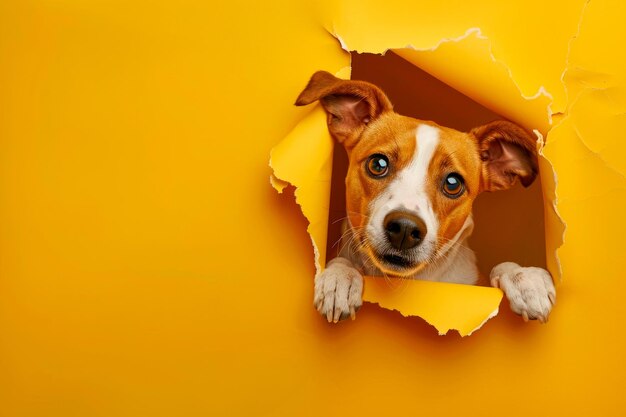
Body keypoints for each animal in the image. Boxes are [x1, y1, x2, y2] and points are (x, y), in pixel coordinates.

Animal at [294, 71, 556, 324]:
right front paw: (340, 277)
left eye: (453, 183)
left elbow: (502, 267)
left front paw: (525, 279)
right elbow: (342, 262)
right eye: (378, 164)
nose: (404, 228)